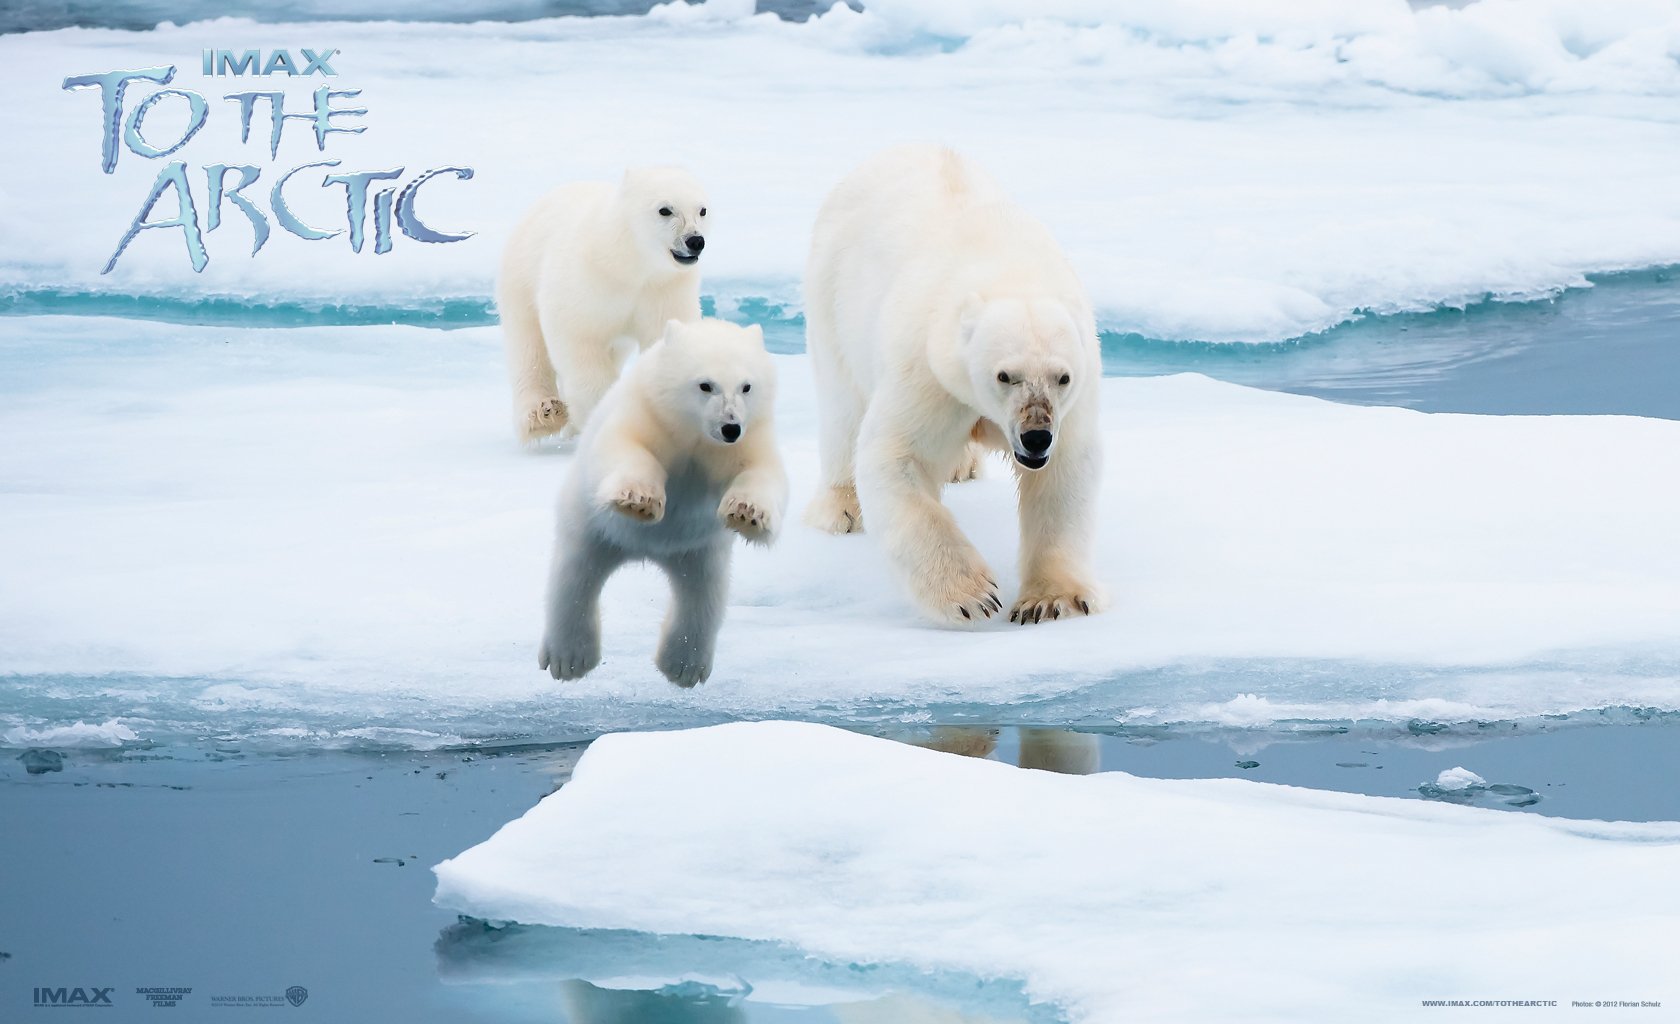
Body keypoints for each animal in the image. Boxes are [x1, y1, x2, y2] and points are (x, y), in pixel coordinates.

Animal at [498, 166, 710, 444]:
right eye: (665, 210)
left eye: (702, 210)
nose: (695, 241)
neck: (629, 263)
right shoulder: (587, 281)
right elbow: (579, 338)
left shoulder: (664, 289)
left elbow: (666, 338)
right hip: (521, 277)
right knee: (528, 346)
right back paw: (544, 413)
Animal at [538, 318, 787, 687]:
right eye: (705, 385)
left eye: (746, 386)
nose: (730, 427)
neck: (692, 435)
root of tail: (648, 551)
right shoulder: (648, 414)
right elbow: (623, 447)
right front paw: (639, 500)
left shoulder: (748, 439)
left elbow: (764, 474)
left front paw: (747, 513)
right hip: (590, 526)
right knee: (574, 577)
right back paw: (569, 659)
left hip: (697, 550)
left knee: (703, 594)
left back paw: (683, 665)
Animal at [803, 145, 1104, 626]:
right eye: (1004, 375)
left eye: (1063, 377)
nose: (1036, 436)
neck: (1010, 270)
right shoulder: (929, 368)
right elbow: (897, 453)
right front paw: (973, 595)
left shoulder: (1077, 395)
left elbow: (1065, 473)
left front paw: (1052, 600)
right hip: (832, 295)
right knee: (842, 407)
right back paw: (842, 507)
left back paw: (963, 465)